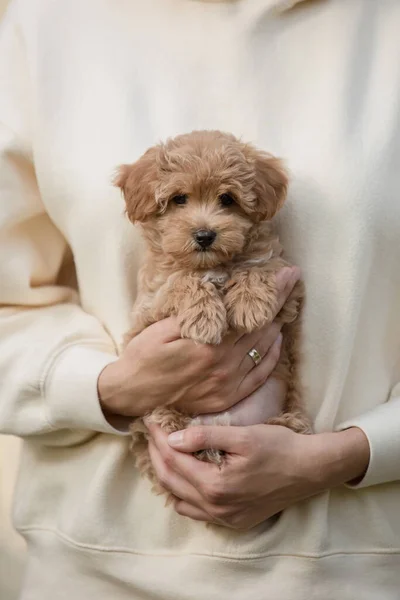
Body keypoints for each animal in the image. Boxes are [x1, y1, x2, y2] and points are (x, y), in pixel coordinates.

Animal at [114, 131, 310, 492]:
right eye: (179, 199)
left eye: (227, 199)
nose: (204, 235)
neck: (212, 265)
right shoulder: (148, 309)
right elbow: (181, 281)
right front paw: (205, 319)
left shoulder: (289, 288)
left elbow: (258, 267)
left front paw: (251, 303)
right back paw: (175, 424)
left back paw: (290, 422)